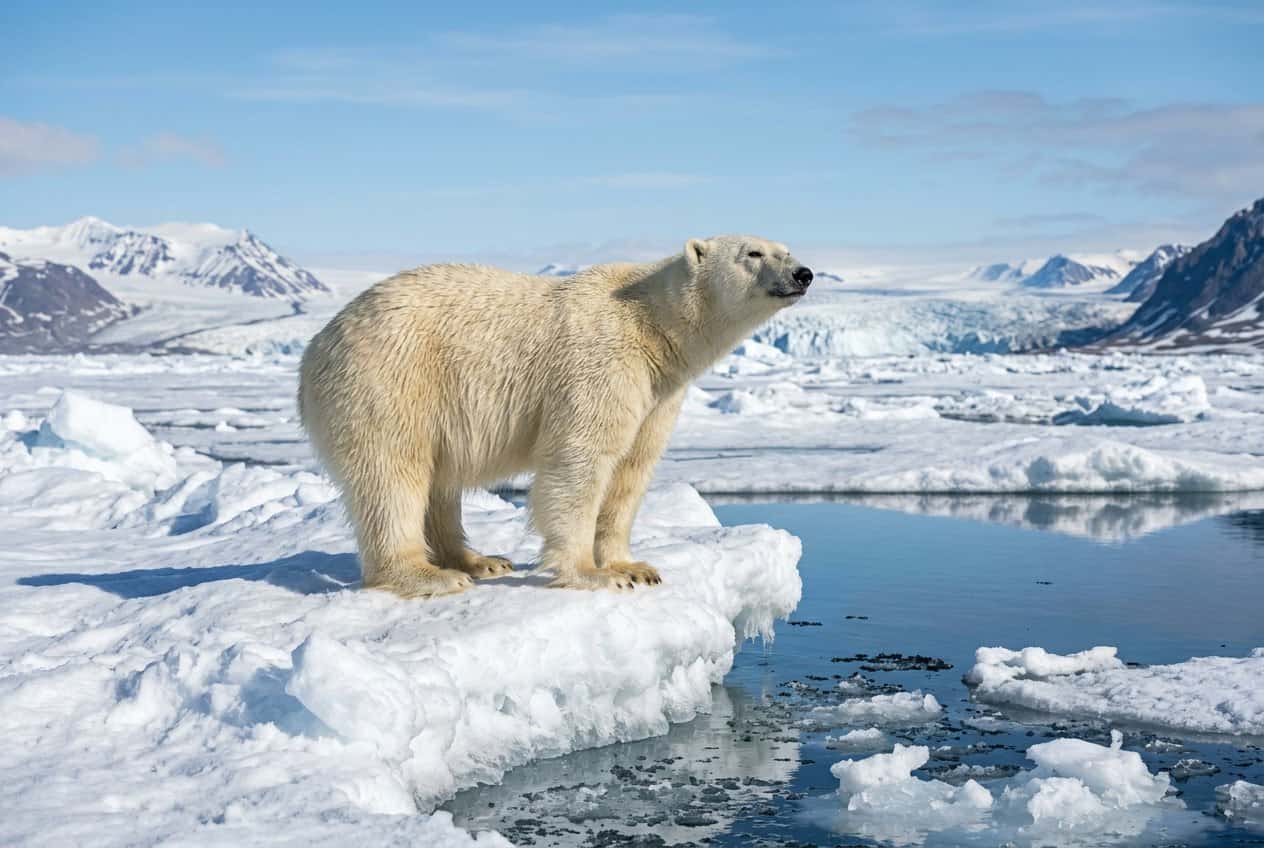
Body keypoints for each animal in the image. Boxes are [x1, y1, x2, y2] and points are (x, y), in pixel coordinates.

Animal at [298, 235, 813, 598]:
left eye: (787, 248)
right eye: (753, 252)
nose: (804, 273)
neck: (651, 323)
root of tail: (316, 348)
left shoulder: (658, 392)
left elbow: (631, 469)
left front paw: (634, 567)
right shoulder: (602, 362)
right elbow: (581, 459)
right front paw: (593, 573)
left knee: (440, 483)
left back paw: (479, 560)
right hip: (392, 380)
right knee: (392, 473)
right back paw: (428, 575)